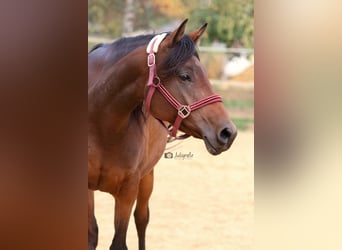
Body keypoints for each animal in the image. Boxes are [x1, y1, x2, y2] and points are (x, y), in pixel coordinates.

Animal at [88, 18, 236, 249]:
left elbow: (120, 242)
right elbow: (91, 234)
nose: (228, 132)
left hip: (147, 177)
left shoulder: (128, 191)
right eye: (185, 76)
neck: (101, 123)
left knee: (142, 220)